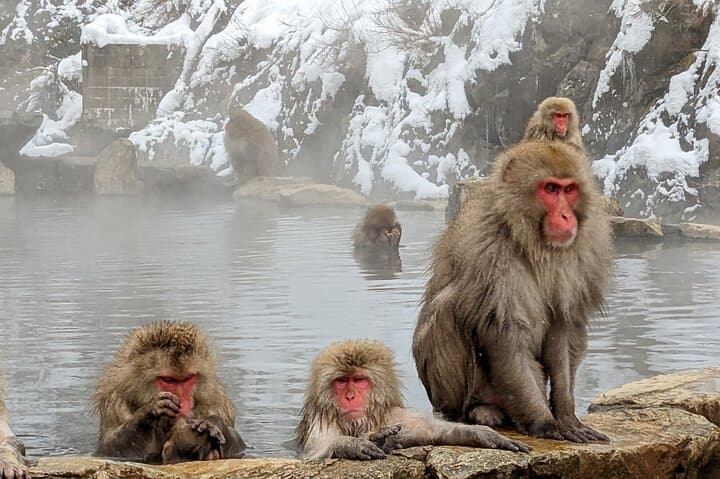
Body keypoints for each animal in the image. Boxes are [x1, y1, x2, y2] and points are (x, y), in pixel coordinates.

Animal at [91, 321, 246, 464]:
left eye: (188, 378)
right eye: (169, 380)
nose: (183, 402)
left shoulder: (215, 399)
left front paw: (212, 422)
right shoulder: (115, 400)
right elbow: (109, 449)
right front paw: (152, 409)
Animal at [295, 339, 531, 460]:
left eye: (358, 380)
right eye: (342, 381)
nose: (350, 396)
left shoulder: (394, 414)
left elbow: (431, 431)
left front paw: (480, 433)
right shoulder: (320, 420)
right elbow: (317, 451)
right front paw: (352, 444)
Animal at [412, 141, 612, 443]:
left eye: (569, 189)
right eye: (550, 189)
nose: (566, 216)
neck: (531, 239)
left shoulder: (584, 251)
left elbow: (564, 328)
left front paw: (567, 416)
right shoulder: (489, 251)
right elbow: (506, 333)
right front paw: (545, 423)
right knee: (447, 306)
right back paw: (475, 411)